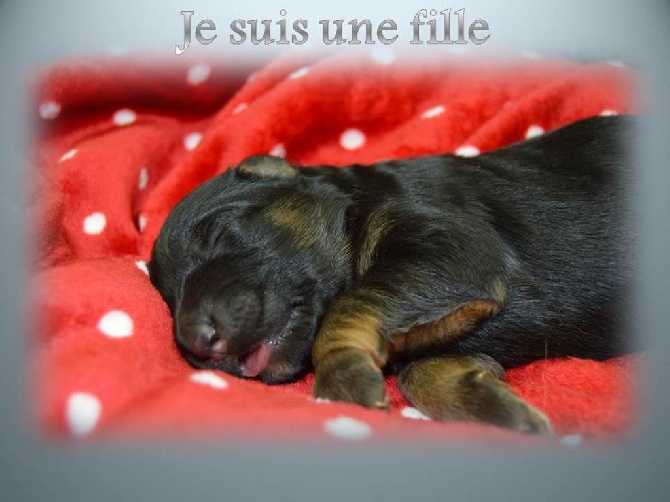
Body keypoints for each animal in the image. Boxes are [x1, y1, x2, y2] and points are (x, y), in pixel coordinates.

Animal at [148, 114, 636, 436]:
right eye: (167, 298)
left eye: (216, 233)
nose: (195, 341)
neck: (357, 203)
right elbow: (418, 372)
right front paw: (493, 404)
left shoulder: (449, 244)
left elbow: (349, 307)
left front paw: (343, 373)